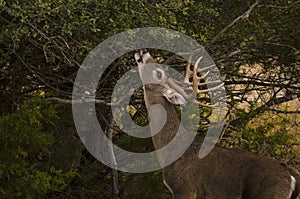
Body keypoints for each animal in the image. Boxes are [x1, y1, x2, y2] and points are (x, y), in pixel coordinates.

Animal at [135, 49, 298, 199]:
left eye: (158, 73)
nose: (143, 52)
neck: (171, 148)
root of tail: (292, 175)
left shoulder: (184, 188)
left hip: (269, 194)